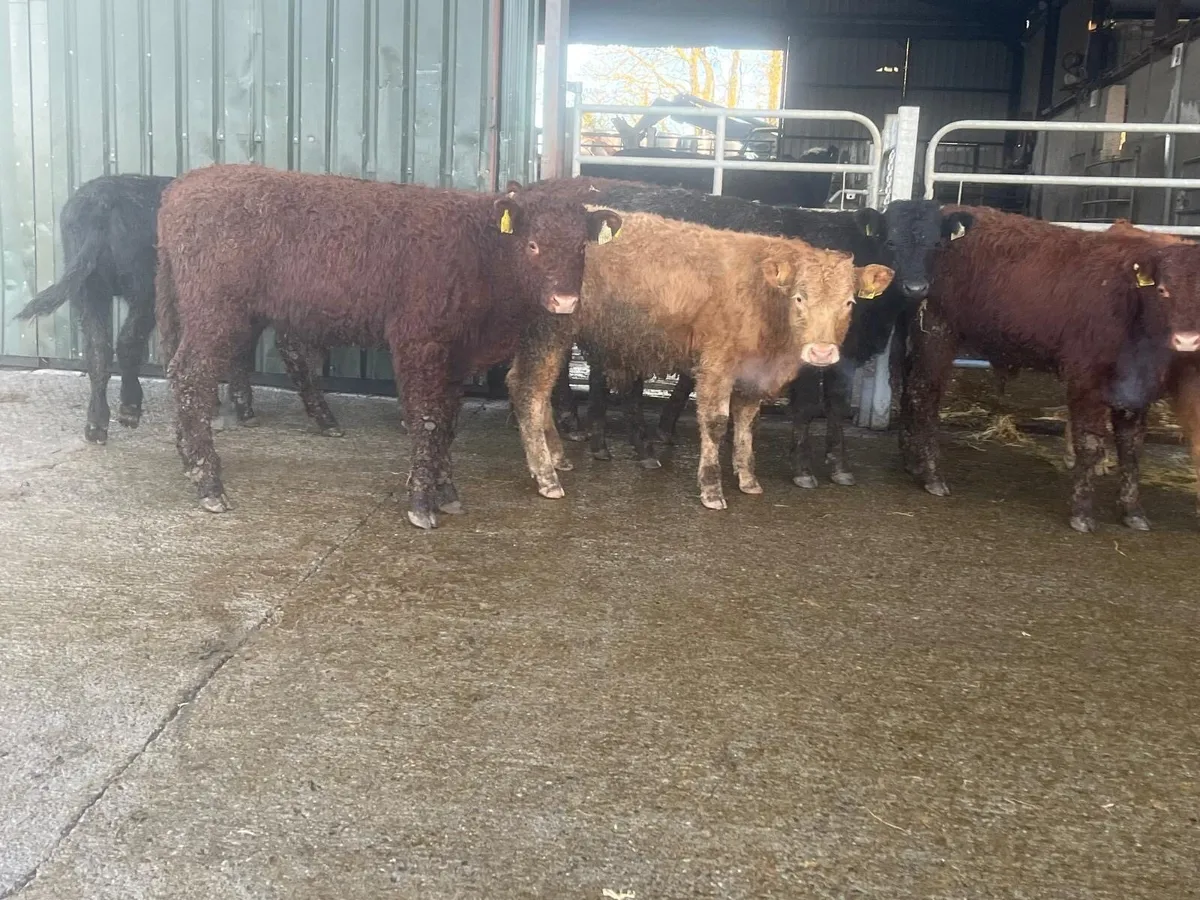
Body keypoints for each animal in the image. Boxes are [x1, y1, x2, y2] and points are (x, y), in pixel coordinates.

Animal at [12, 173, 339, 443]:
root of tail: (100, 201)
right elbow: (238, 353)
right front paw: (241, 410)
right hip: (144, 289)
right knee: (127, 343)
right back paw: (129, 409)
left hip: (89, 289)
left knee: (98, 350)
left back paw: (97, 426)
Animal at [155, 164, 620, 528]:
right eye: (533, 244)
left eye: (582, 247)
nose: (565, 301)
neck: (481, 253)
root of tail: (181, 187)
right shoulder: (418, 341)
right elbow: (426, 419)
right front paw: (421, 502)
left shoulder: (456, 356)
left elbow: (447, 422)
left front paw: (446, 492)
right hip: (215, 310)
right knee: (191, 375)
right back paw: (209, 483)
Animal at [505, 210, 894, 510]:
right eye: (800, 298)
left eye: (849, 303)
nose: (822, 352)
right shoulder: (717, 362)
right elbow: (716, 422)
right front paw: (711, 488)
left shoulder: (753, 373)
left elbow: (747, 424)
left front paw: (747, 478)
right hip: (549, 331)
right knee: (529, 391)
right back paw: (546, 477)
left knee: (533, 391)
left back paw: (556, 459)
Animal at [898, 205, 1200, 532]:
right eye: (1163, 290)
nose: (1187, 340)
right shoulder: (1086, 380)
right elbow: (1089, 444)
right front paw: (1082, 513)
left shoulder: (1137, 391)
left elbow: (1131, 449)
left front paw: (1132, 511)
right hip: (936, 334)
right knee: (923, 396)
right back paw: (931, 474)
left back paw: (912, 462)